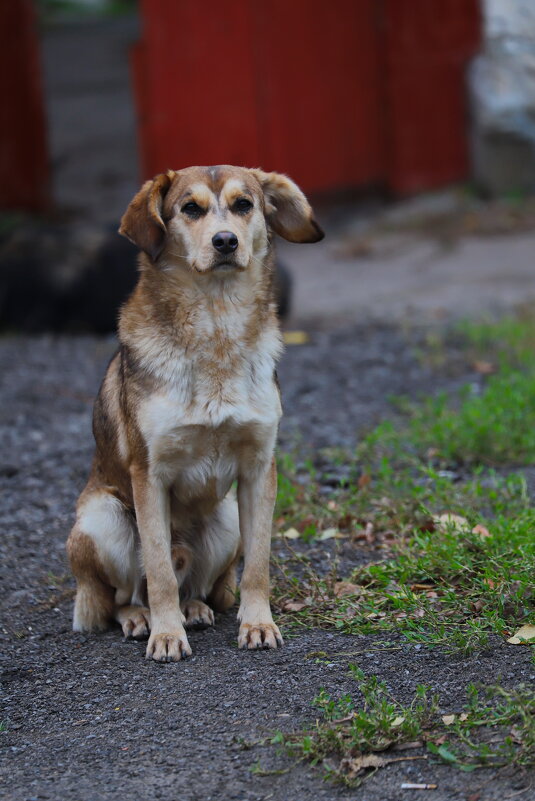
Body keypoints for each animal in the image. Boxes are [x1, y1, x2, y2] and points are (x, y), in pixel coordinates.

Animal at [65, 166, 324, 660]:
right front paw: (167, 634)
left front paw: (258, 624)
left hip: (226, 521)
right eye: (190, 209)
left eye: (244, 205)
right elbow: (159, 571)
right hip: (103, 518)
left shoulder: (259, 469)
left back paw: (196, 610)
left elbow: (257, 565)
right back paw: (142, 618)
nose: (226, 241)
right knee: (124, 595)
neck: (217, 323)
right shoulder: (149, 474)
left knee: (199, 585)